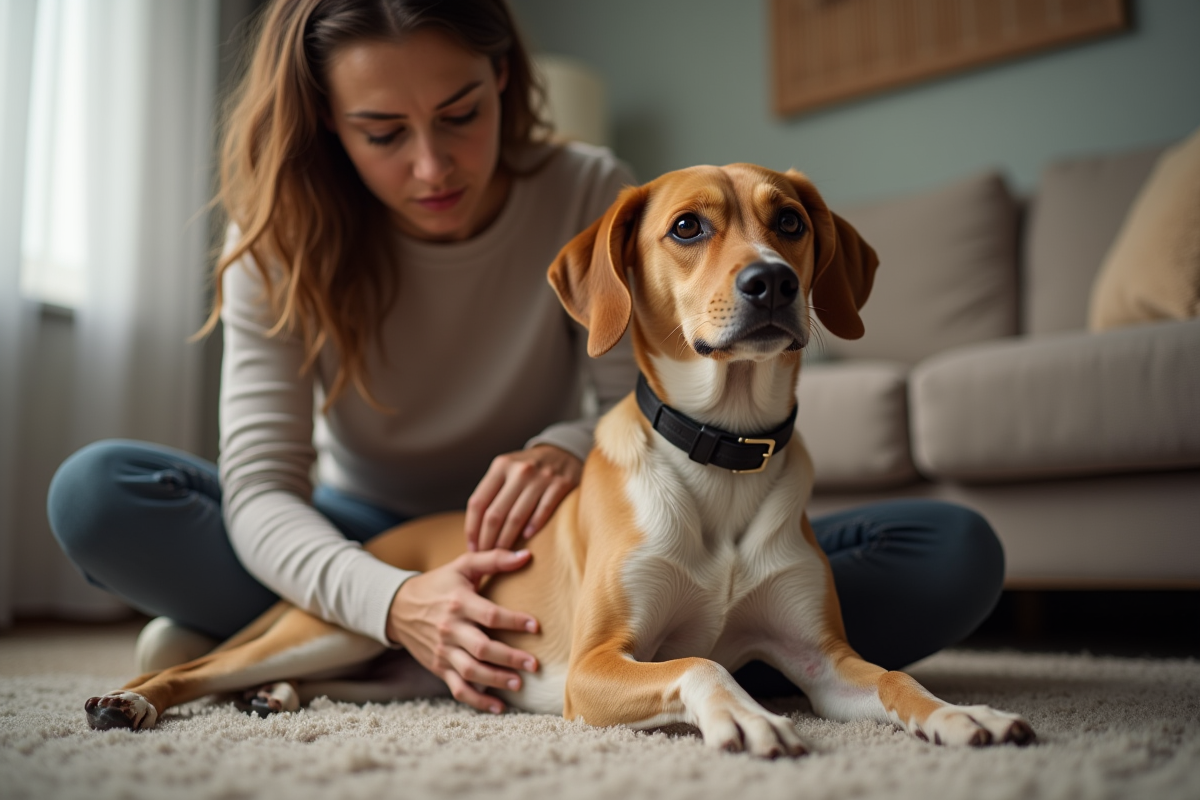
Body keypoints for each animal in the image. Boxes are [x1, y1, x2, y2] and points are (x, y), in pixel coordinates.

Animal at [88, 164, 1036, 758]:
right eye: (687, 227)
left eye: (791, 222)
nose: (773, 280)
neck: (721, 457)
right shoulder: (593, 666)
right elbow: (702, 662)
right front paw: (749, 720)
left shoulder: (820, 660)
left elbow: (897, 679)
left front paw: (964, 713)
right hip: (324, 626)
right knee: (192, 668)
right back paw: (129, 700)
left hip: (385, 666)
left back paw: (277, 699)